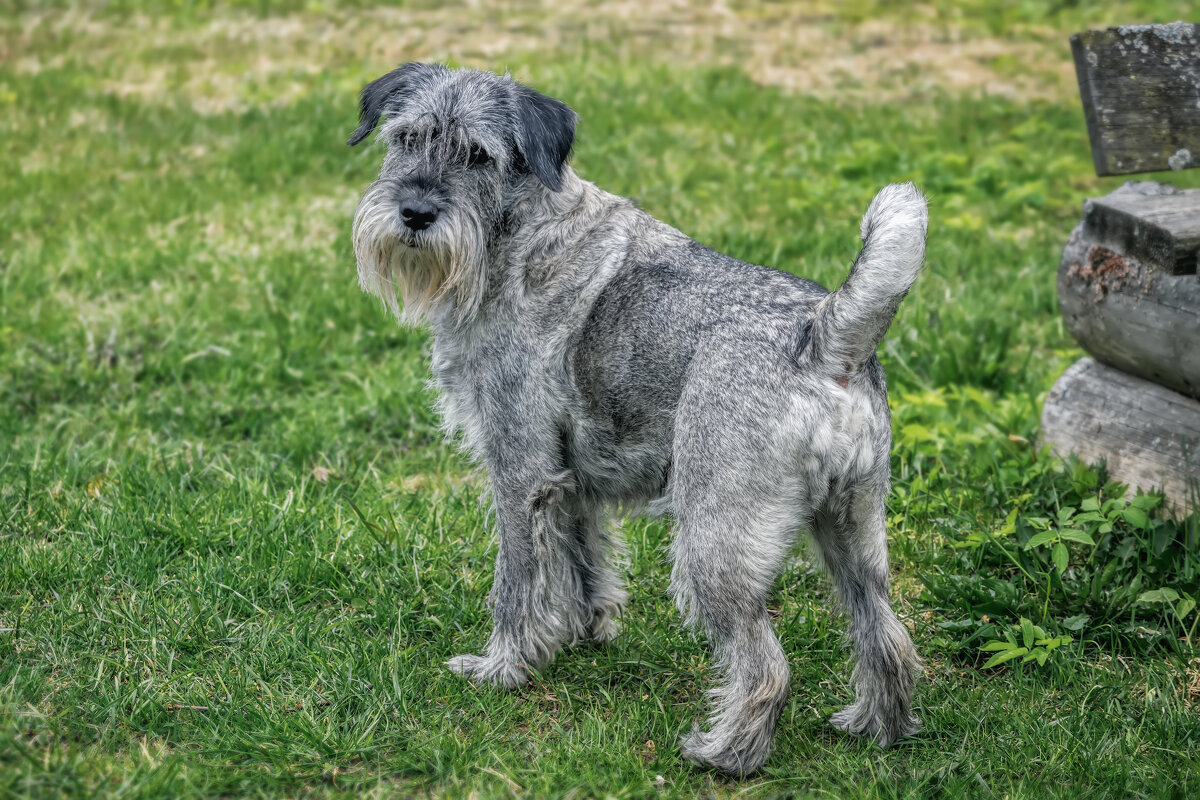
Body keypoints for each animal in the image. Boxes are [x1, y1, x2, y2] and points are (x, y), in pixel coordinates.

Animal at [348, 62, 926, 777]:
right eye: (406, 138)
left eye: (478, 156)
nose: (416, 213)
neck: (521, 234)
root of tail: (826, 339)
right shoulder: (568, 479)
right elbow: (579, 565)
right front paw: (580, 635)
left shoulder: (520, 473)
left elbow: (518, 581)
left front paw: (502, 669)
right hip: (854, 534)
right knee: (886, 636)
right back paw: (877, 727)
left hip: (713, 545)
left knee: (765, 665)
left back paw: (724, 753)